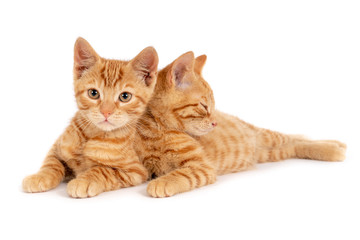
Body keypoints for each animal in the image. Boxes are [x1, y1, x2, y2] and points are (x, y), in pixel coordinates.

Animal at [22, 37, 158, 198]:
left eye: (125, 96)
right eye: (93, 93)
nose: (106, 112)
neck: (90, 135)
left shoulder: (135, 171)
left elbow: (102, 170)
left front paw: (83, 180)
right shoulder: (57, 147)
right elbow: (51, 163)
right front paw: (40, 176)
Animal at [135, 51, 346, 198]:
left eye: (212, 106)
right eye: (204, 106)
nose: (215, 123)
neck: (156, 129)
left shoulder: (202, 167)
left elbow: (182, 174)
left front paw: (162, 183)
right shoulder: (148, 166)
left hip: (266, 136)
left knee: (296, 137)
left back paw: (334, 147)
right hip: (271, 153)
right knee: (295, 146)